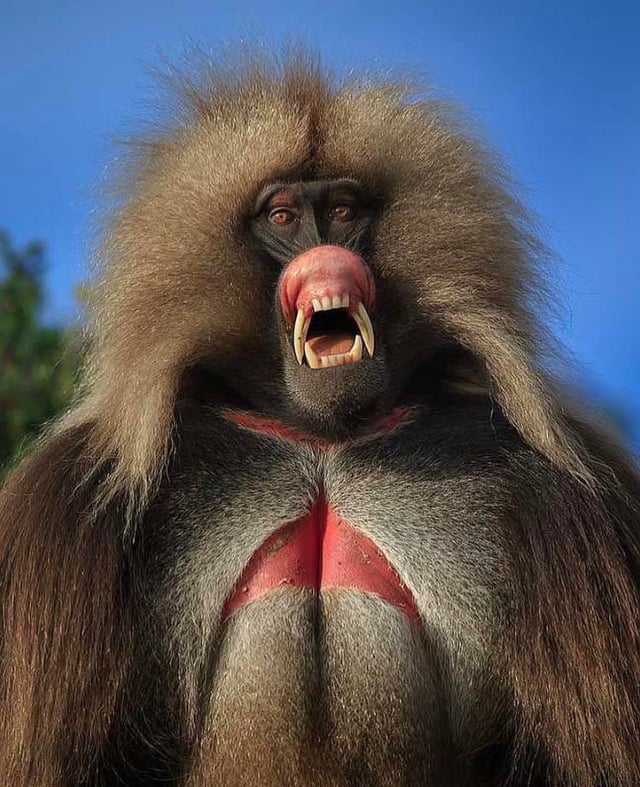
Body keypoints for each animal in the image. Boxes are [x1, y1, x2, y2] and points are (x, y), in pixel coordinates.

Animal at [0, 50, 639, 787]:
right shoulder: (64, 507)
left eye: (341, 211)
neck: (323, 436)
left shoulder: (577, 497)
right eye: (282, 218)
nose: (327, 257)